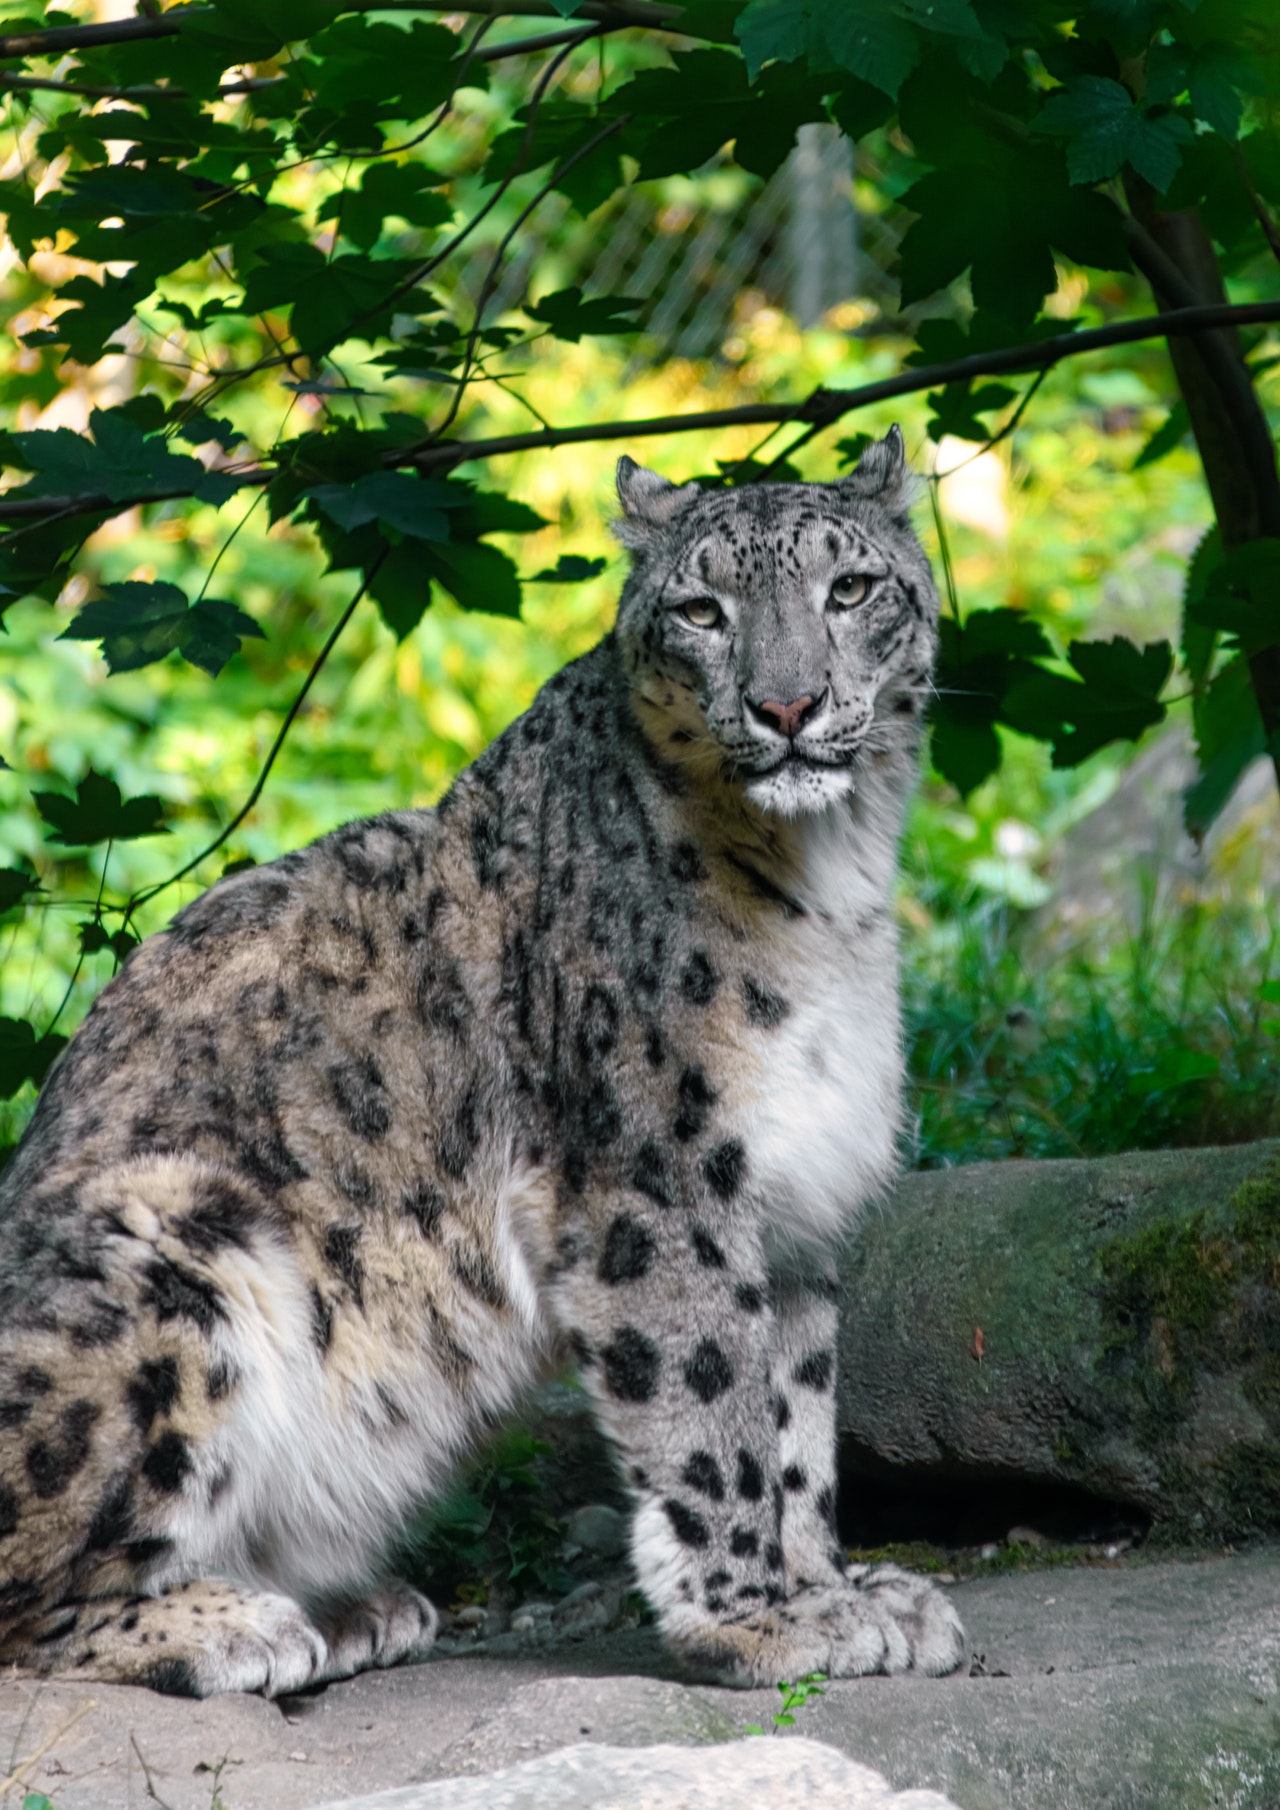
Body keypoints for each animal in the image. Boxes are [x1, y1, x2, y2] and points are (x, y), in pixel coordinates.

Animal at [0, 434, 963, 1694]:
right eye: (700, 611)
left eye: (848, 590)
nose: (785, 704)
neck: (830, 877)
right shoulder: (655, 1181)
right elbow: (714, 1402)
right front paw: (760, 1619)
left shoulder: (792, 1200)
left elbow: (794, 1414)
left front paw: (836, 1590)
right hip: (173, 1258)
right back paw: (232, 1624)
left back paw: (349, 1606)